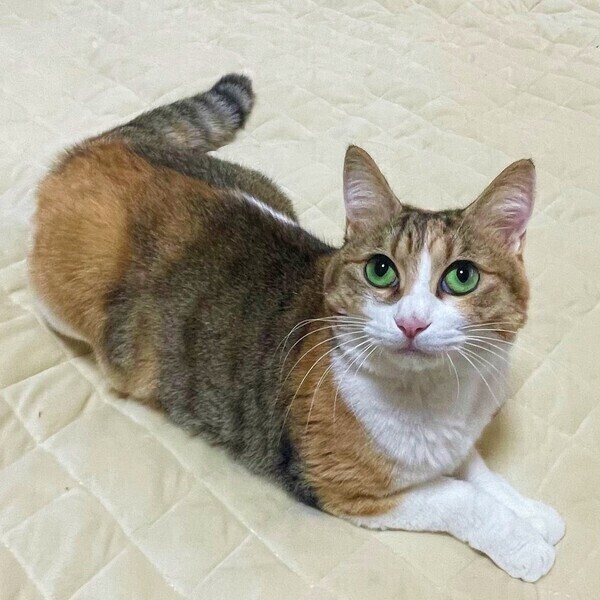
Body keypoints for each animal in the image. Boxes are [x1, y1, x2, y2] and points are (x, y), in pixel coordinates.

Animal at [29, 73, 564, 582]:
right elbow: (459, 496)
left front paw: (534, 515)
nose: (411, 322)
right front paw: (523, 542)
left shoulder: (457, 440)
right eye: (380, 270)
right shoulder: (343, 487)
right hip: (67, 305)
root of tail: (100, 147)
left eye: (462, 277)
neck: (437, 398)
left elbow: (478, 470)